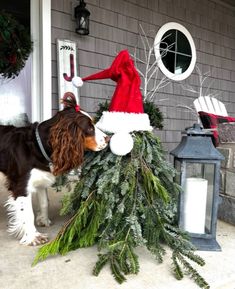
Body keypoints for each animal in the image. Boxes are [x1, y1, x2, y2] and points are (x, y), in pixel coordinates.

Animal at [0, 94, 108, 245]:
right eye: (90, 129)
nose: (108, 138)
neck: (37, 146)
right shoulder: (21, 185)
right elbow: (27, 213)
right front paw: (33, 237)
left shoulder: (40, 177)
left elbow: (45, 202)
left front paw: (43, 220)